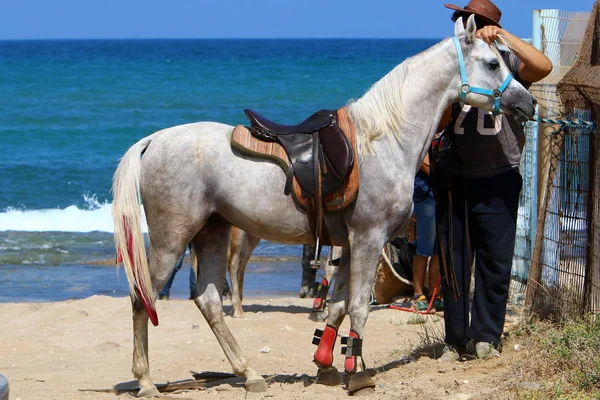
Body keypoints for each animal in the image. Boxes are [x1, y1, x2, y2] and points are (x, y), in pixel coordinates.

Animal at [111, 15, 536, 396]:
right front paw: (358, 373)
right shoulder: (368, 239)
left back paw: (249, 374)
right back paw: (146, 382)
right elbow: (359, 306)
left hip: (211, 233)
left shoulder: (349, 245)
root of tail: (153, 140)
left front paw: (327, 365)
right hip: (172, 239)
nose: (528, 101)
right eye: (493, 63)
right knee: (142, 298)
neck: (383, 141)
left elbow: (337, 306)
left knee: (210, 301)